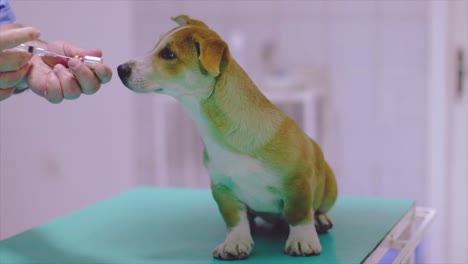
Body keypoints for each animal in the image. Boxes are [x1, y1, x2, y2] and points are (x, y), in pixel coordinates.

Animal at [116, 14, 336, 260]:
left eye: (168, 54)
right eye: (156, 46)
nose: (120, 68)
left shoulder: (297, 183)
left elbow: (298, 214)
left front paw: (302, 240)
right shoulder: (223, 190)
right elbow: (235, 221)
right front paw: (235, 242)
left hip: (329, 186)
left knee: (316, 209)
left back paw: (320, 220)